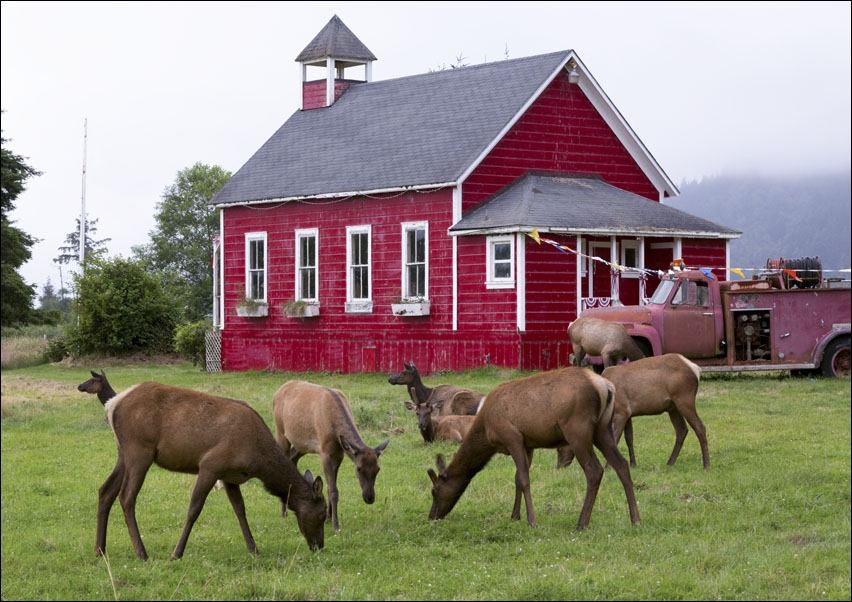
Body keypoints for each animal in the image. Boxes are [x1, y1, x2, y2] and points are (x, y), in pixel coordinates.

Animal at [95, 381, 327, 560]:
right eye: (323, 514)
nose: (319, 546)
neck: (258, 459)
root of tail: (113, 404)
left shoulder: (230, 476)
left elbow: (240, 509)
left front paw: (254, 549)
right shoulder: (210, 465)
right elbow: (194, 509)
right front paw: (176, 553)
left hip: (123, 452)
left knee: (105, 490)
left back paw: (100, 550)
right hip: (140, 450)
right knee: (126, 496)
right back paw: (141, 553)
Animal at [272, 380, 390, 531]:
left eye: (378, 469)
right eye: (358, 469)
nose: (369, 498)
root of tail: (278, 391)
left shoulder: (339, 454)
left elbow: (329, 487)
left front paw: (327, 518)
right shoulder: (324, 451)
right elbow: (333, 490)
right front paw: (335, 524)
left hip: (302, 444)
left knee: (293, 459)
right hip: (281, 432)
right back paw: (284, 512)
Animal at [427, 366, 641, 531]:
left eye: (435, 491)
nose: (432, 516)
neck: (486, 430)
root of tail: (606, 386)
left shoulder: (511, 436)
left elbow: (523, 478)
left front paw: (532, 521)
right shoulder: (527, 444)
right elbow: (517, 478)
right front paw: (514, 515)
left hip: (577, 430)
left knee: (594, 470)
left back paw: (581, 523)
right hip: (603, 429)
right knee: (621, 464)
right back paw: (636, 519)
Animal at [557, 353, 708, 469]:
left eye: (560, 446)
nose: (559, 466)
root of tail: (696, 368)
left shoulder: (621, 411)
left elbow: (616, 438)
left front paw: (608, 467)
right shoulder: (628, 414)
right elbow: (629, 438)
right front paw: (633, 464)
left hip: (684, 398)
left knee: (700, 427)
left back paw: (706, 464)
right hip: (672, 406)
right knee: (682, 430)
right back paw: (670, 462)